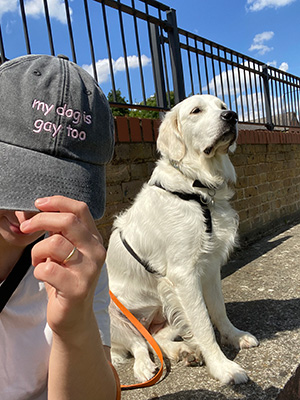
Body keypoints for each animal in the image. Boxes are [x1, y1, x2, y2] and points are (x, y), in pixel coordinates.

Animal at [106, 94, 258, 384]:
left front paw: (234, 336)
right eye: (196, 111)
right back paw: (145, 367)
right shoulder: (183, 274)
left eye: (223, 107)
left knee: (154, 337)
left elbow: (218, 310)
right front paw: (223, 367)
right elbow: (203, 324)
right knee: (138, 344)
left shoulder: (209, 267)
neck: (198, 188)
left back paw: (184, 350)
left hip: (166, 309)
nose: (232, 116)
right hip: (112, 312)